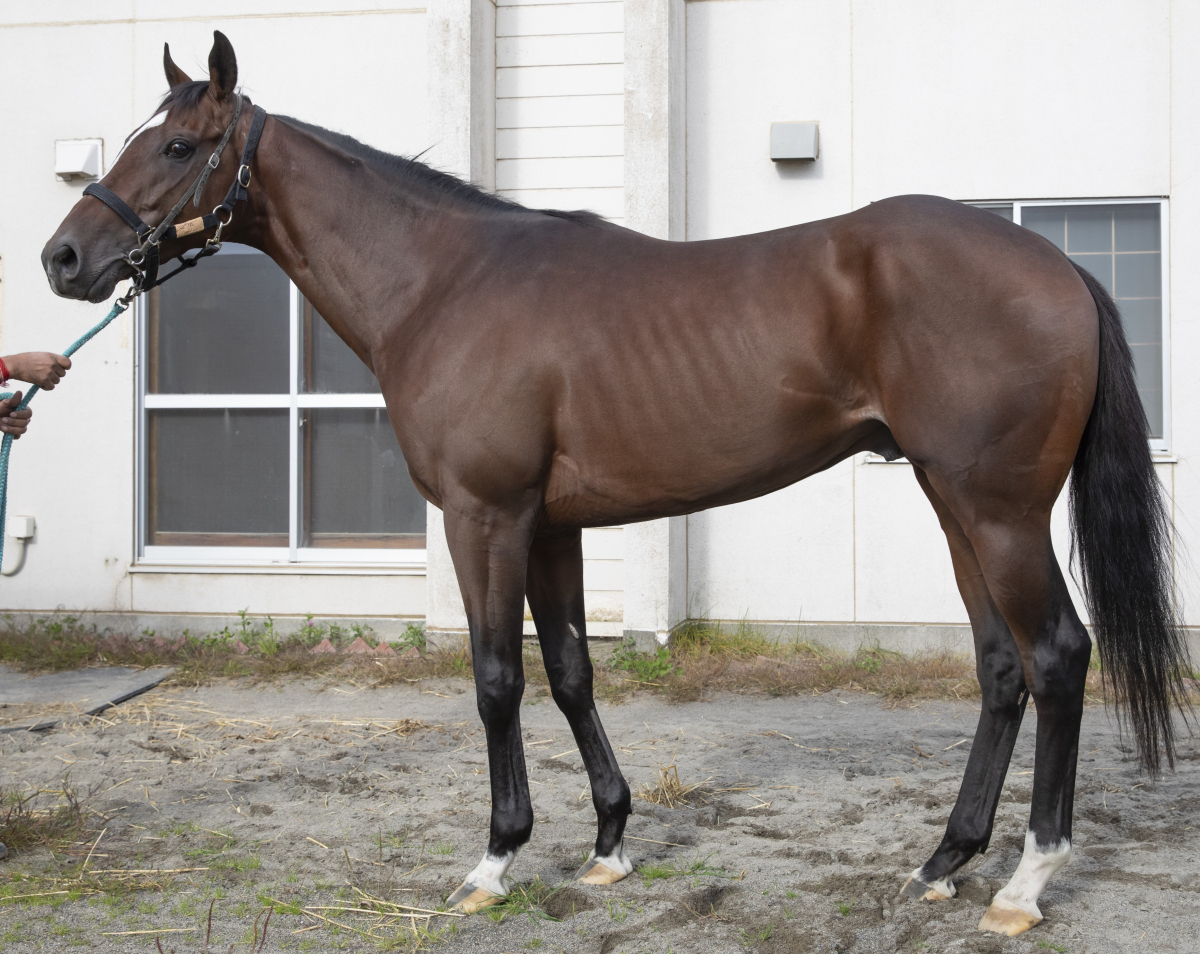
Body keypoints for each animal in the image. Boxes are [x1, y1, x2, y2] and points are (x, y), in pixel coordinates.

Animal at [42, 32, 1192, 936]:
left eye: (177, 146)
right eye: (138, 138)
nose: (62, 258)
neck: (445, 284)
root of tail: (1058, 266)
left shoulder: (485, 518)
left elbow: (496, 680)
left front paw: (495, 859)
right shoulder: (551, 527)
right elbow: (570, 674)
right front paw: (607, 843)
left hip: (998, 513)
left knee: (1057, 656)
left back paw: (1026, 885)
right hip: (956, 508)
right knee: (1002, 668)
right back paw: (944, 863)